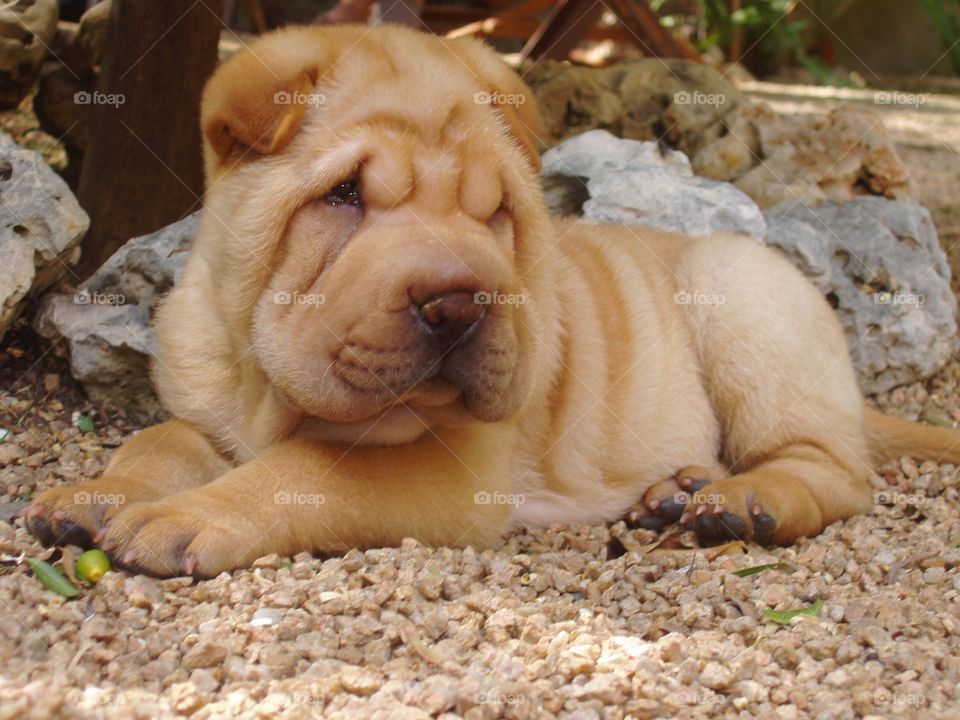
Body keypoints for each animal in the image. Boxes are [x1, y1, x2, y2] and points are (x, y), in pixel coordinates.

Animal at [24, 25, 960, 576]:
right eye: (344, 196)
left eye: (494, 212)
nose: (458, 303)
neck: (263, 384)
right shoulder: (205, 403)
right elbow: (158, 439)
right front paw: (94, 495)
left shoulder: (450, 467)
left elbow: (304, 471)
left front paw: (184, 517)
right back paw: (680, 488)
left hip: (744, 296)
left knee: (829, 470)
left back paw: (741, 502)